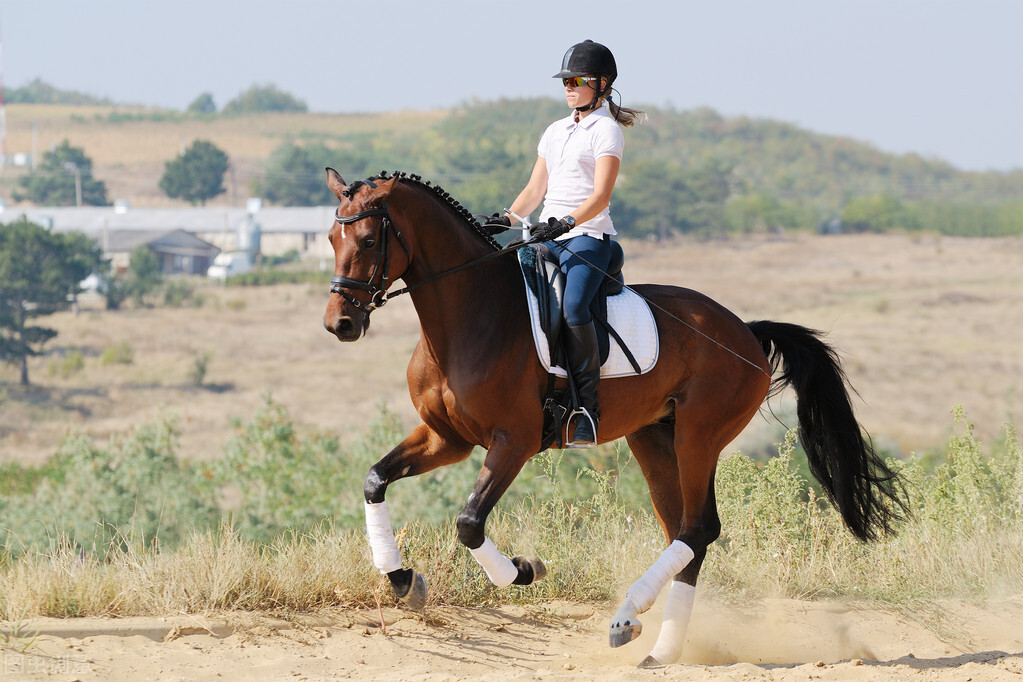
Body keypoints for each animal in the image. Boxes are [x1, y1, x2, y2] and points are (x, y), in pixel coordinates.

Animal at [323, 167, 908, 662]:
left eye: (370, 241)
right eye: (331, 239)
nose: (340, 325)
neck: (470, 315)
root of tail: (744, 330)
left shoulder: (514, 441)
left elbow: (468, 523)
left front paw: (522, 571)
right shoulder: (447, 438)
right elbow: (375, 479)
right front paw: (403, 580)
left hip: (698, 437)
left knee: (699, 529)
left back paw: (630, 620)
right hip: (654, 438)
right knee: (686, 532)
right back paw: (660, 647)